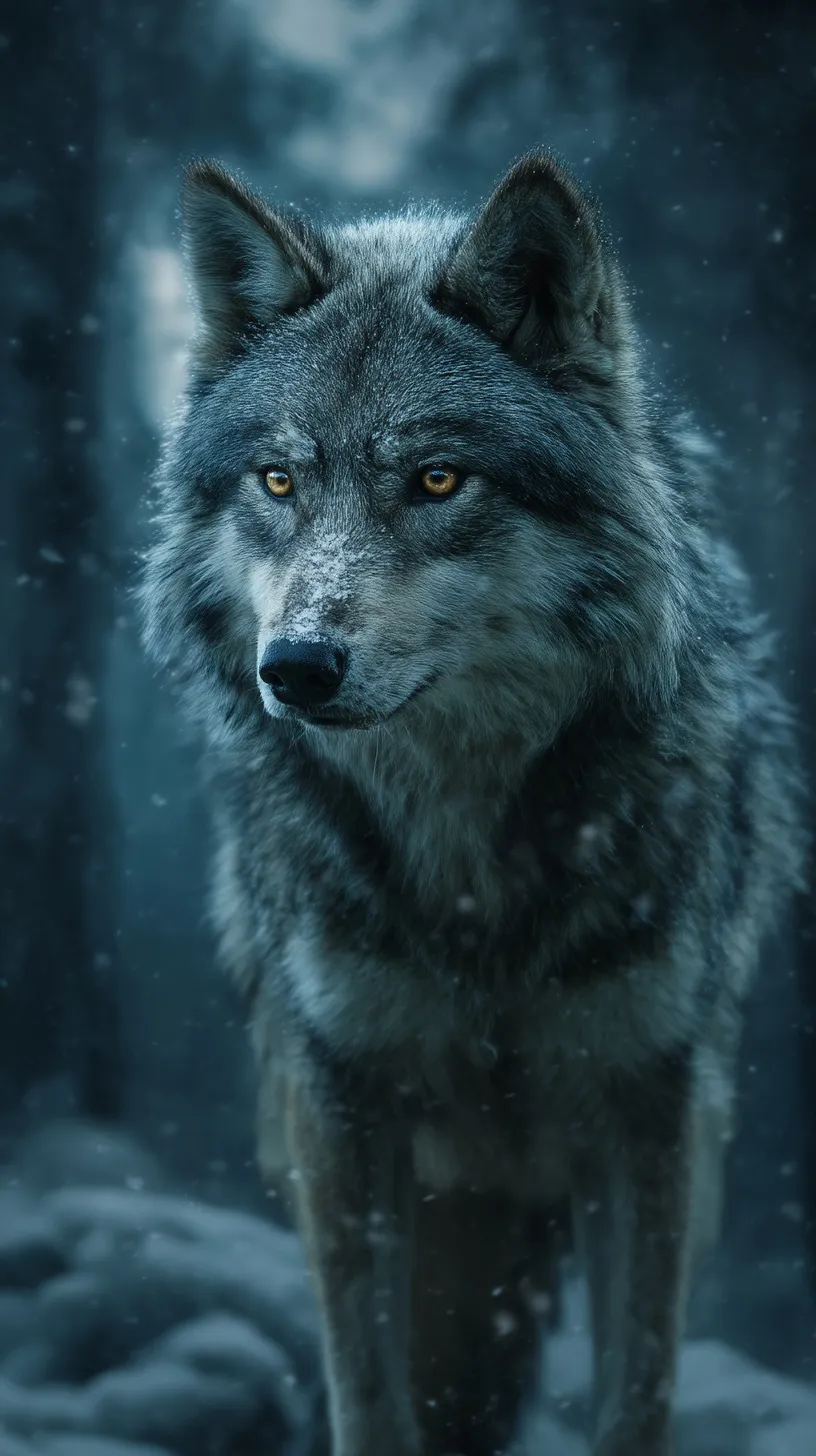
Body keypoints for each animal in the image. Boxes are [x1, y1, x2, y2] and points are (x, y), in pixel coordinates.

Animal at [142, 151, 805, 1456]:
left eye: (437, 479)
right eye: (278, 479)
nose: (296, 666)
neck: (466, 874)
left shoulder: (652, 1114)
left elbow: (636, 1396)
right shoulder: (341, 1110)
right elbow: (369, 1397)